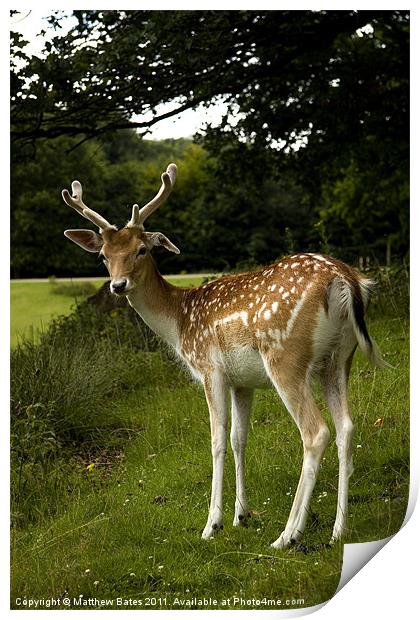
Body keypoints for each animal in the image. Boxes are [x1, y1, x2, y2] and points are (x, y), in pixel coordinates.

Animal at [62, 163, 388, 548]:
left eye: (142, 249)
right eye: (103, 256)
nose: (117, 285)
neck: (179, 322)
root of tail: (344, 279)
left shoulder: (209, 368)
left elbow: (217, 441)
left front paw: (212, 524)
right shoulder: (241, 382)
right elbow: (238, 439)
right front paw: (240, 515)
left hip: (285, 355)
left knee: (316, 432)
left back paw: (288, 535)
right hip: (338, 358)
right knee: (346, 428)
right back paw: (339, 529)